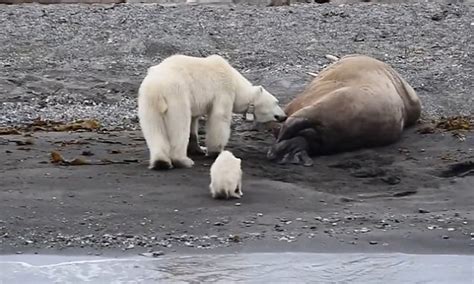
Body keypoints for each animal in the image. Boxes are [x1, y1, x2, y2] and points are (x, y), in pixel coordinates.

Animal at [136, 54, 286, 170]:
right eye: (276, 102)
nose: (284, 116)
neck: (236, 82)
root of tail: (158, 88)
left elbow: (194, 120)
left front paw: (198, 149)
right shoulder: (223, 90)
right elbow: (219, 118)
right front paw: (216, 151)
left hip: (147, 101)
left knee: (153, 128)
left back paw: (161, 162)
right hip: (177, 95)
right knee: (180, 125)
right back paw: (183, 160)